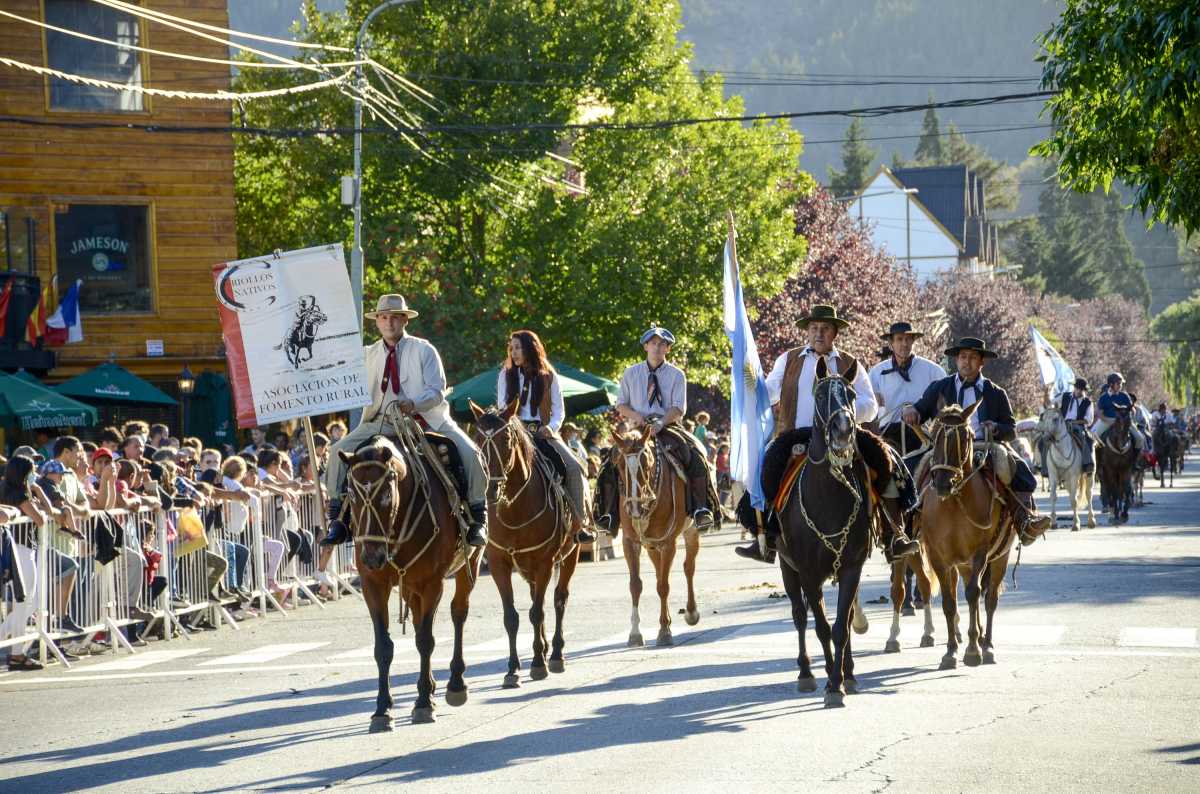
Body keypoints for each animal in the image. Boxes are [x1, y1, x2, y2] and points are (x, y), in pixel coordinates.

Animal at [340, 429, 480, 734]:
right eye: (351, 494)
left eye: (385, 494)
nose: (372, 556)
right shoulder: (373, 585)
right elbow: (383, 647)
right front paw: (382, 709)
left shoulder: (432, 583)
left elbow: (426, 640)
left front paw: (424, 704)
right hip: (410, 586)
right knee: (417, 621)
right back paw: (430, 686)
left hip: (469, 564)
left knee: (458, 612)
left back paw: (455, 684)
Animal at [468, 400, 580, 686]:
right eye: (476, 439)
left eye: (506, 439)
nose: (489, 489)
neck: (514, 507)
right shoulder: (499, 564)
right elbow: (512, 617)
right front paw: (512, 669)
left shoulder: (544, 562)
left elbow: (537, 612)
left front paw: (539, 663)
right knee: (535, 599)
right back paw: (544, 647)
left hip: (570, 555)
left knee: (559, 599)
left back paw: (556, 653)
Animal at [777, 359, 873, 710]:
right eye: (819, 396)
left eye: (852, 395)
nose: (843, 431)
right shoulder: (807, 573)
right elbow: (820, 627)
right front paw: (831, 681)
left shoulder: (851, 568)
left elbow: (841, 626)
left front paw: (840, 681)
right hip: (787, 569)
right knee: (799, 616)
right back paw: (806, 673)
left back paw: (849, 673)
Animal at [916, 407, 1022, 676]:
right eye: (935, 437)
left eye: (964, 438)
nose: (943, 483)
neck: (954, 504)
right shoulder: (940, 558)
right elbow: (949, 602)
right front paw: (951, 651)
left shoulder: (980, 554)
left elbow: (974, 594)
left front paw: (973, 650)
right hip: (962, 564)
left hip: (1000, 557)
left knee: (990, 598)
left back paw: (988, 645)